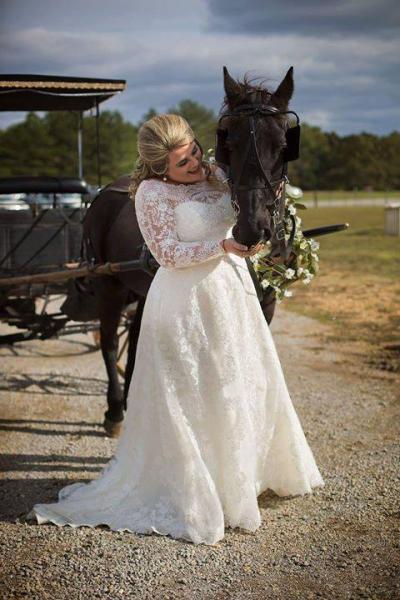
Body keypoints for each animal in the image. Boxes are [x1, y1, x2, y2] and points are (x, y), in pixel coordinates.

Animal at [84, 67, 296, 436]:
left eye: (283, 146)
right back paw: (114, 411)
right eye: (229, 143)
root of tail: (106, 192)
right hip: (109, 284)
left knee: (136, 336)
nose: (251, 229)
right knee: (109, 343)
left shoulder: (267, 305)